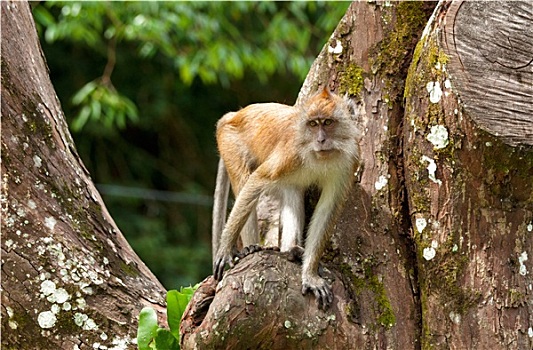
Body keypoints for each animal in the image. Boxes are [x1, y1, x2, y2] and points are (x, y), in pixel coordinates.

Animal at [212, 87, 362, 308]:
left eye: (328, 122)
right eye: (313, 124)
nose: (320, 140)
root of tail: (233, 115)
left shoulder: (349, 161)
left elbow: (328, 209)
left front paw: (310, 275)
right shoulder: (290, 155)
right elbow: (256, 180)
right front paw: (224, 250)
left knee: (293, 189)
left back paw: (291, 250)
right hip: (231, 143)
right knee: (244, 180)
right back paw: (251, 247)